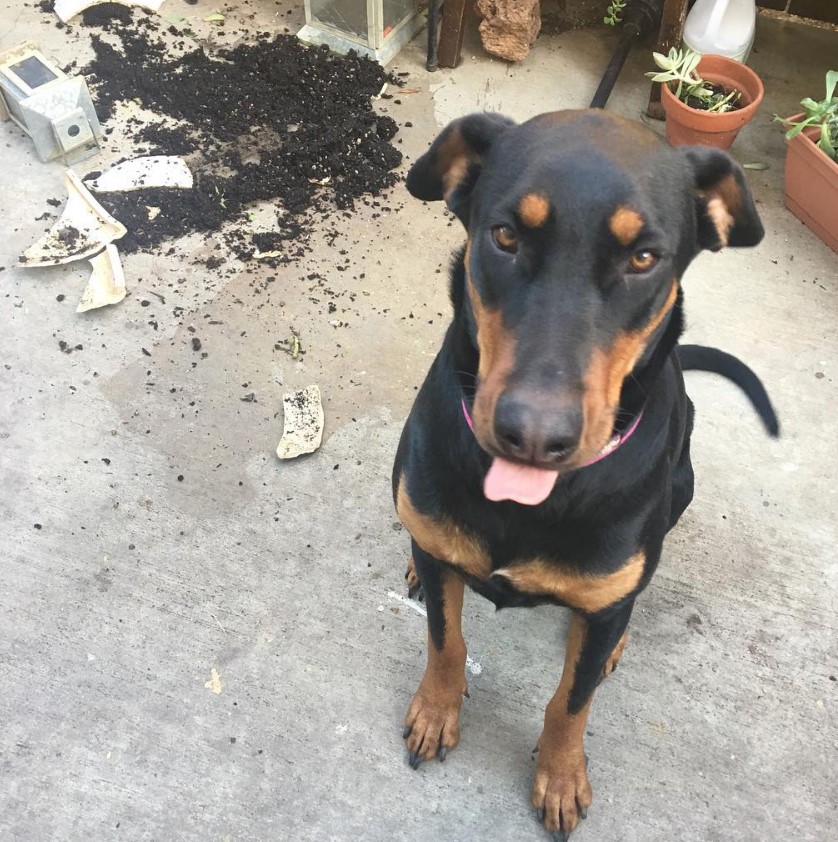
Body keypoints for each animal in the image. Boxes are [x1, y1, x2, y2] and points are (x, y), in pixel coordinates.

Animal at [394, 108, 780, 836]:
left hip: (681, 489)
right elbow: (445, 640)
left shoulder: (601, 606)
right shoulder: (438, 552)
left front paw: (561, 775)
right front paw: (437, 710)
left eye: (643, 258)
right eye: (506, 235)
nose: (533, 436)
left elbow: (571, 701)